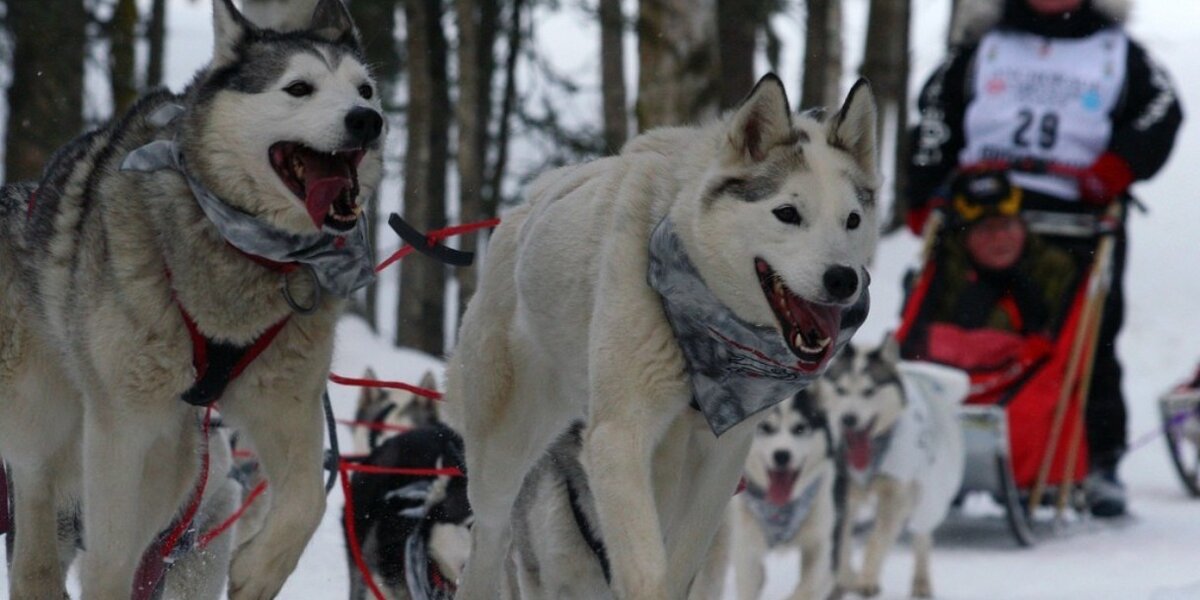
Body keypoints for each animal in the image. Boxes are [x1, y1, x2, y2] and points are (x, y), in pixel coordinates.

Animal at [0, 0, 381, 595]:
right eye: (299, 88)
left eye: (365, 90)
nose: (367, 120)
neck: (242, 252)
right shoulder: (122, 423)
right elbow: (109, 555)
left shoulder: (285, 402)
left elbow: (307, 503)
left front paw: (255, 572)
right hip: (47, 415)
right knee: (38, 503)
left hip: (179, 457)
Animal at [446, 72, 878, 597]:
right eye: (788, 213)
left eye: (852, 220)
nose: (843, 279)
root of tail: (531, 199)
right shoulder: (618, 436)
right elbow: (645, 567)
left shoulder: (722, 456)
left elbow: (681, 560)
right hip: (502, 455)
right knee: (490, 537)